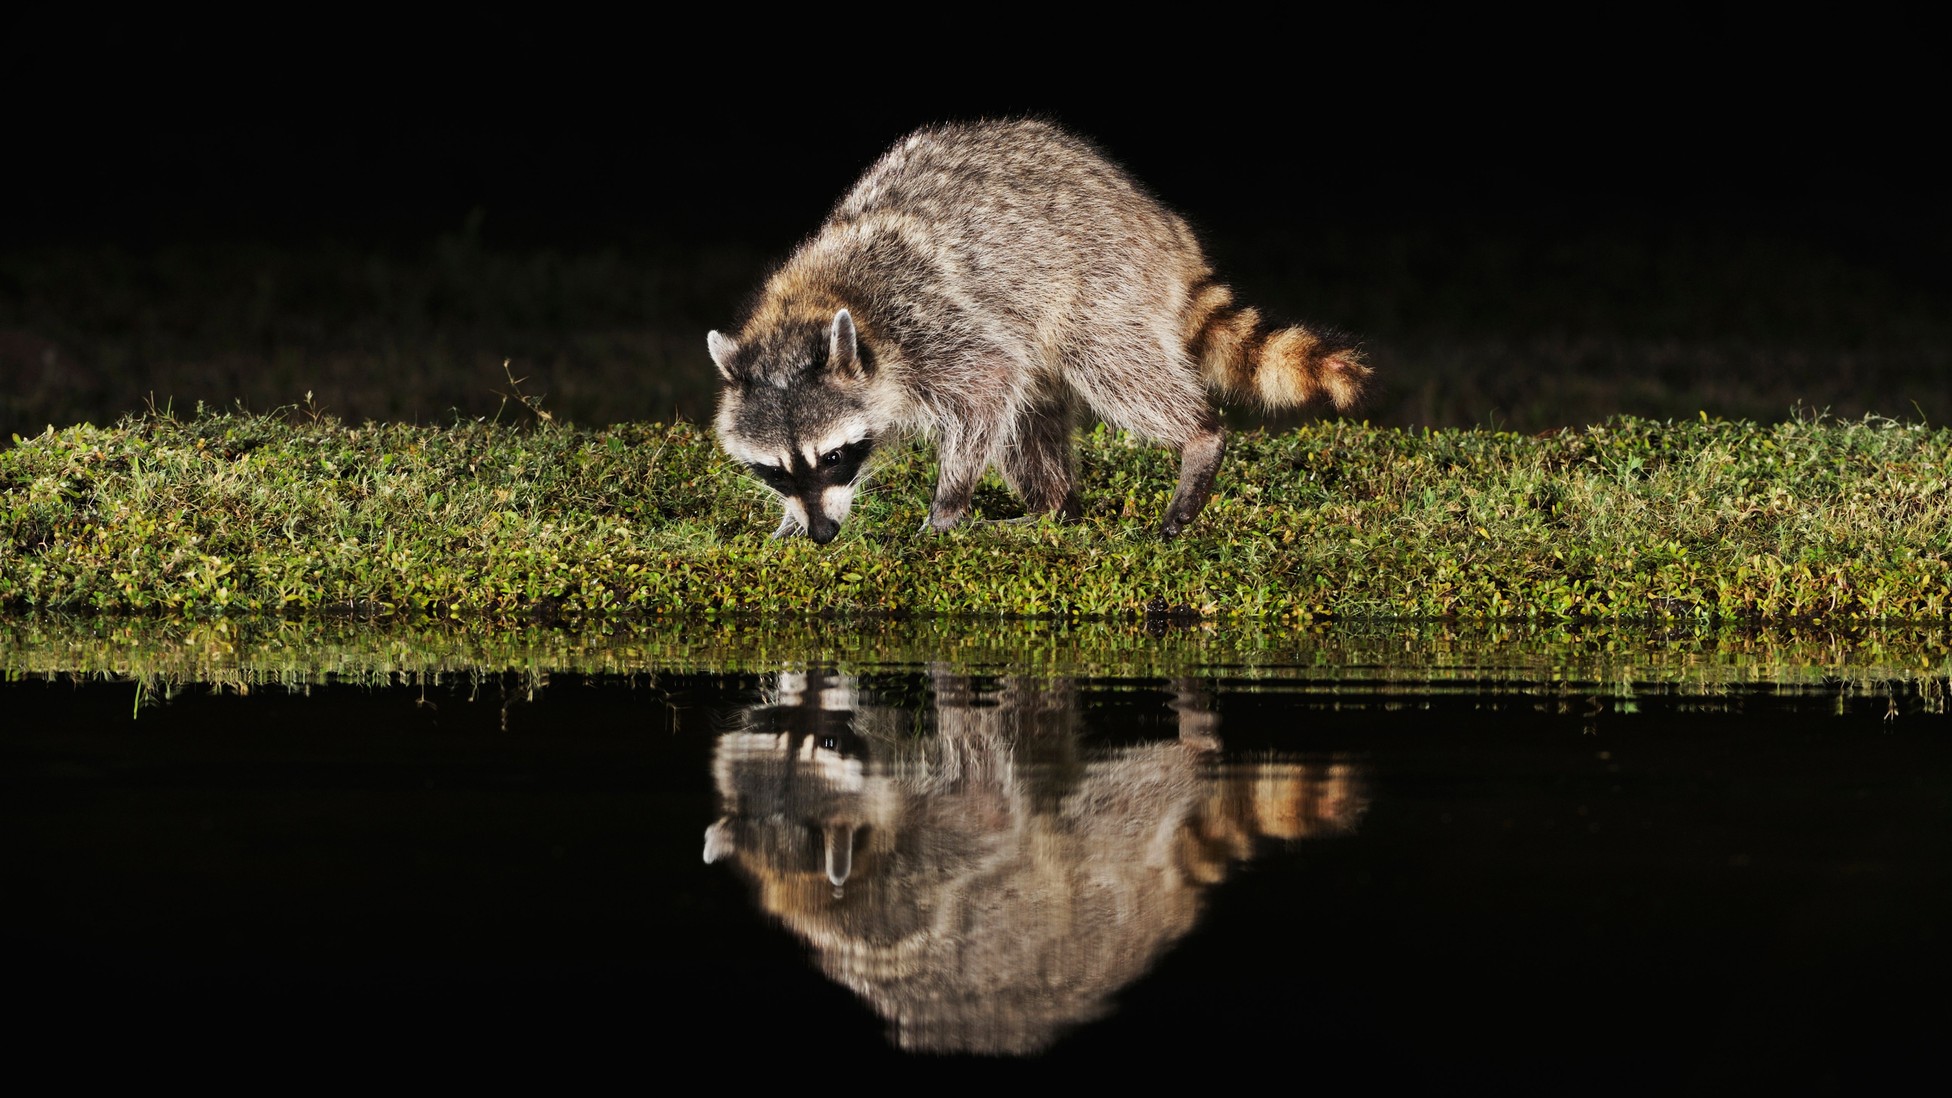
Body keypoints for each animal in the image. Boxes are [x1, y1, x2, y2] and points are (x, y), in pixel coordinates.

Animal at [708, 117, 1370, 543]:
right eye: (775, 470)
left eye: (834, 456)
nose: (821, 533)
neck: (812, 306)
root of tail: (1161, 224)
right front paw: (788, 520)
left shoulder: (929, 324)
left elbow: (987, 385)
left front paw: (948, 502)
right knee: (1032, 413)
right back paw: (1055, 508)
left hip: (1103, 279)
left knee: (1105, 363)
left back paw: (1198, 436)